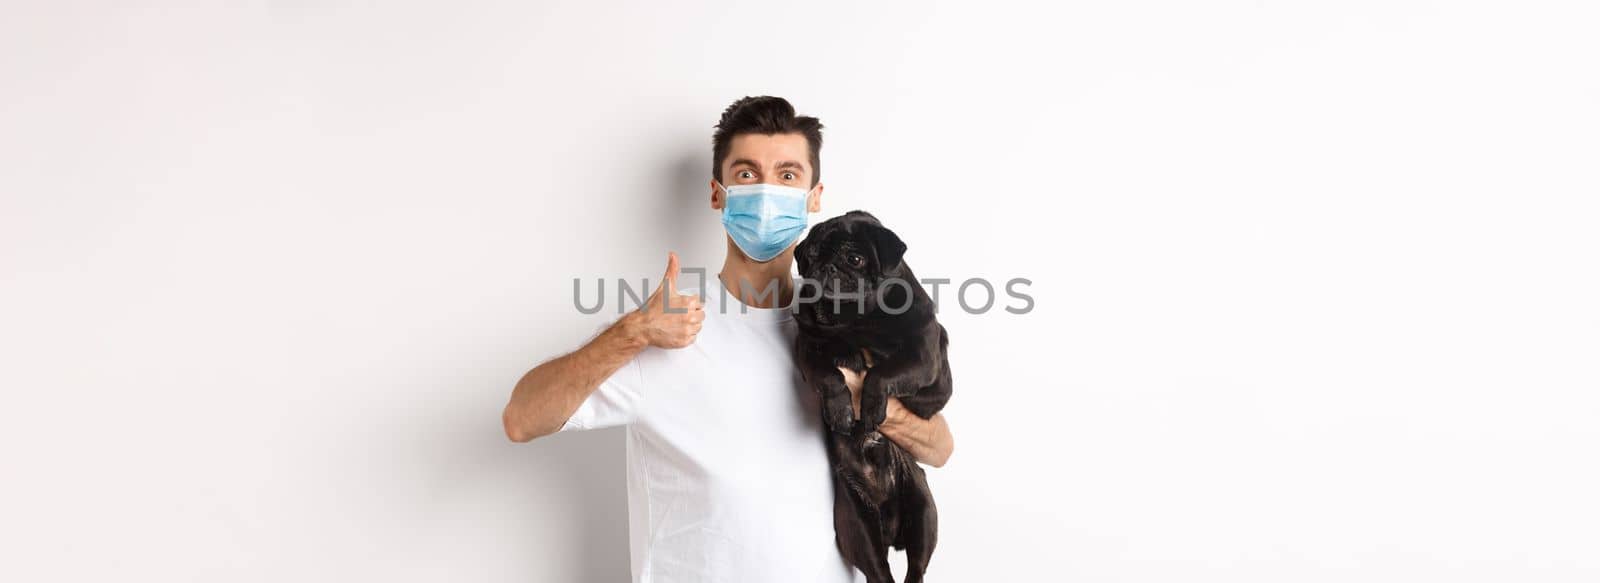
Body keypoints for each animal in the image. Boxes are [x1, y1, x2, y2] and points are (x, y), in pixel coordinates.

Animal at [790, 209, 947, 583]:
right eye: (810, 256)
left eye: (855, 259)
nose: (826, 268)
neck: (856, 320)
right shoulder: (808, 348)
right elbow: (830, 377)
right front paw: (842, 411)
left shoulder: (925, 361)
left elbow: (881, 374)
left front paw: (873, 407)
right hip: (858, 526)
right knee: (880, 571)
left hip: (924, 510)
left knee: (916, 568)